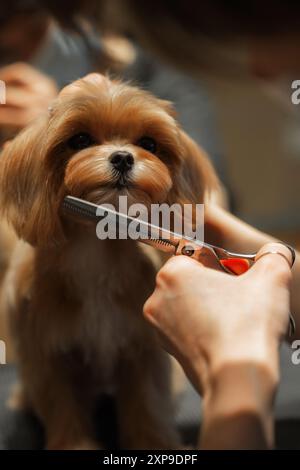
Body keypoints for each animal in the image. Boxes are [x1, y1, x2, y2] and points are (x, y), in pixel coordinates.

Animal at [0, 73, 217, 448]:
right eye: (80, 139)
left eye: (149, 143)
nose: (123, 158)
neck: (95, 252)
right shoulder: (49, 357)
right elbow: (63, 410)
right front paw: (75, 445)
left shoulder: (142, 350)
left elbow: (146, 407)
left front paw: (154, 445)